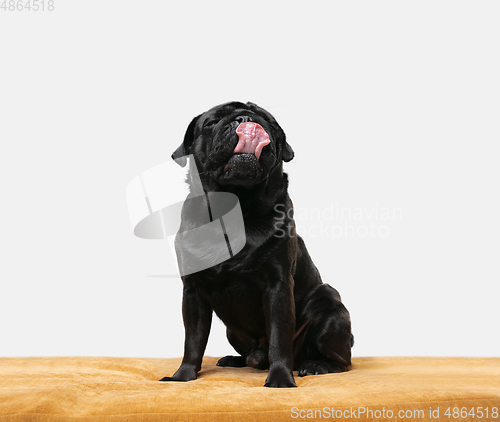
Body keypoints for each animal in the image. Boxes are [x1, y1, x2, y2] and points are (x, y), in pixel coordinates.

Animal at [160, 100, 352, 388]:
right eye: (211, 122)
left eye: (268, 122)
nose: (244, 118)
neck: (236, 207)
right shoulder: (192, 292)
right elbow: (192, 341)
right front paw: (182, 377)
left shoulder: (278, 285)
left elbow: (279, 338)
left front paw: (280, 380)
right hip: (232, 332)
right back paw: (236, 359)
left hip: (330, 308)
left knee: (343, 361)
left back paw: (316, 365)